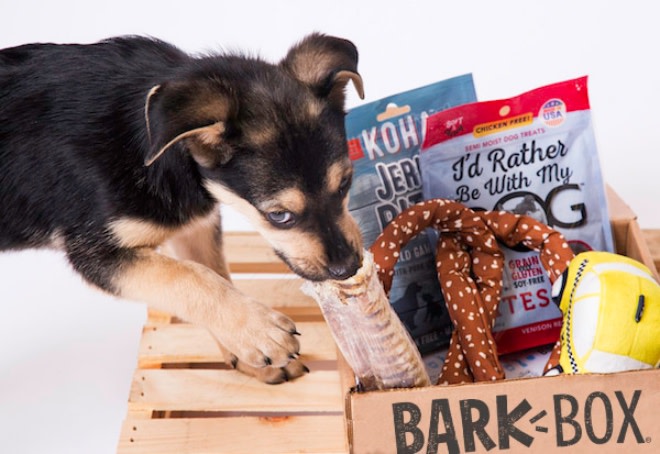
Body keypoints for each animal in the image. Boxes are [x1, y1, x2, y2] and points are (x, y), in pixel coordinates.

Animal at [0, 33, 360, 384]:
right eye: (279, 215)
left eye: (345, 183)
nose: (348, 269)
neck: (149, 143)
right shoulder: (96, 253)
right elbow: (187, 276)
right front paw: (260, 331)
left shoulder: (193, 224)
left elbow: (213, 273)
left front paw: (251, 356)